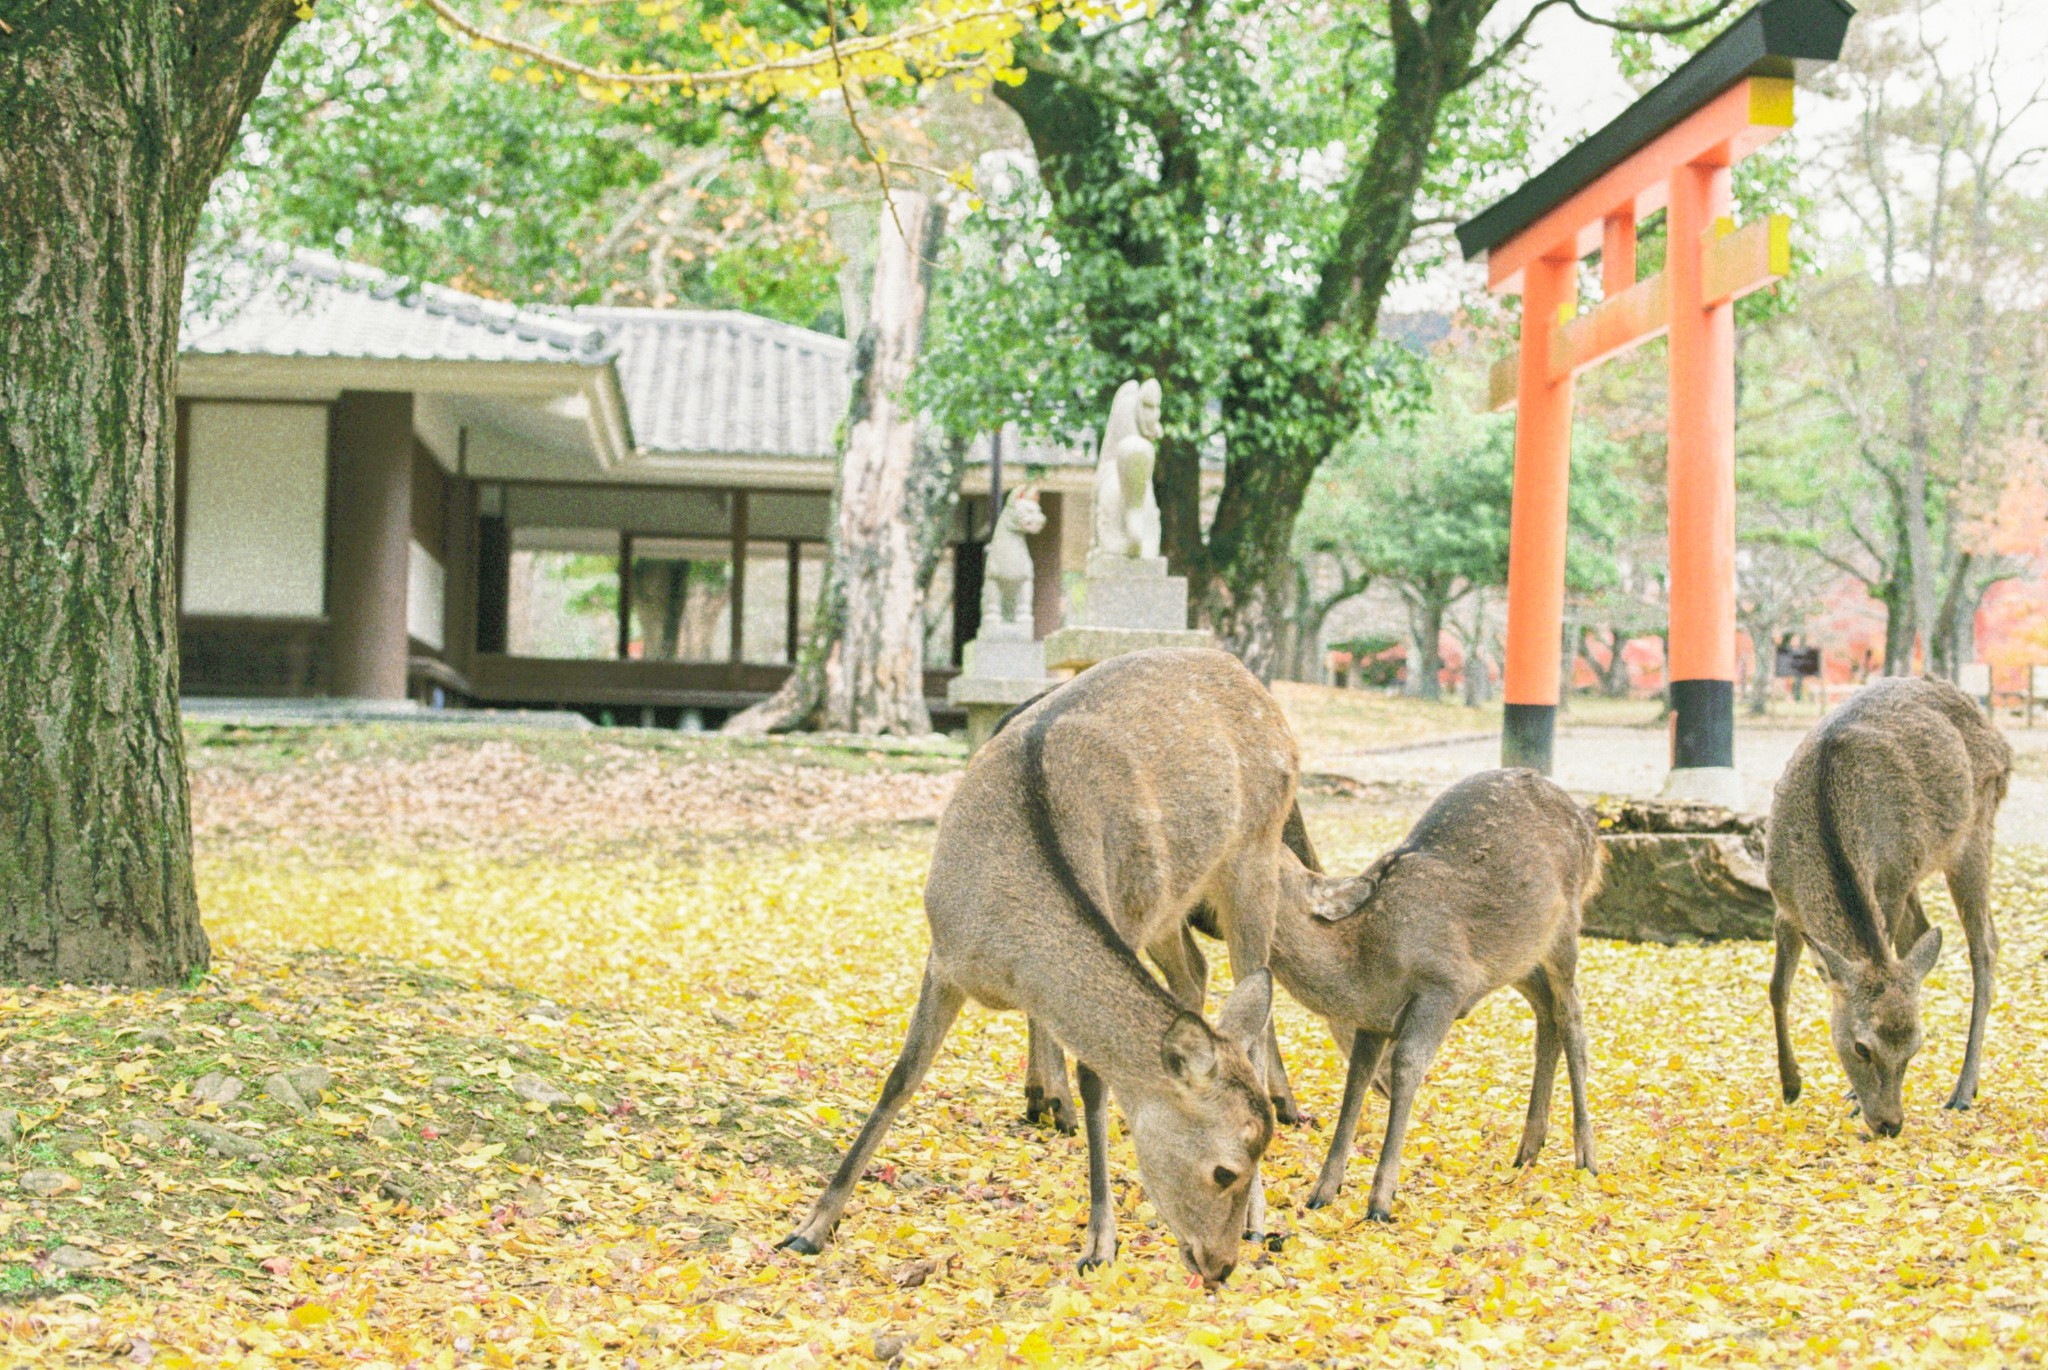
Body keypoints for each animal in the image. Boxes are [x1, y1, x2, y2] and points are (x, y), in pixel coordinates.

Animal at [774, 647, 1302, 1277]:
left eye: (1252, 1155)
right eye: (1225, 1170)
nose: (1220, 1266)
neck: (1011, 958)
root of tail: (1252, 680)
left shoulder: (1120, 917)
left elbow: (1095, 1078)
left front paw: (1100, 1243)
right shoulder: (943, 957)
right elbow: (902, 1077)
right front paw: (811, 1226)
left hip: (1255, 851)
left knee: (1254, 1002)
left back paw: (1262, 1213)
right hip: (1173, 897)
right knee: (1196, 971)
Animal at [1277, 769, 1597, 1220]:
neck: (1362, 962)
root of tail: (1588, 827)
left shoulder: (1444, 984)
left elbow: (1408, 1064)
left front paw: (1381, 1200)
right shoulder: (1374, 1017)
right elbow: (1357, 1078)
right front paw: (1323, 1190)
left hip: (1564, 929)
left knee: (1572, 1018)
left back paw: (1586, 1155)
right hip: (1519, 956)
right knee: (1546, 1012)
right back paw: (1528, 1150)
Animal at [1769, 671, 2007, 1130]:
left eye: (1914, 1047)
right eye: (1862, 1047)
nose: (1890, 1124)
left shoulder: (1890, 884)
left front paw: (1847, 1097)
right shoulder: (1783, 901)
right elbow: (1777, 988)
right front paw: (1791, 1084)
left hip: (1974, 830)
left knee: (1984, 946)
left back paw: (1963, 1090)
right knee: (1924, 937)